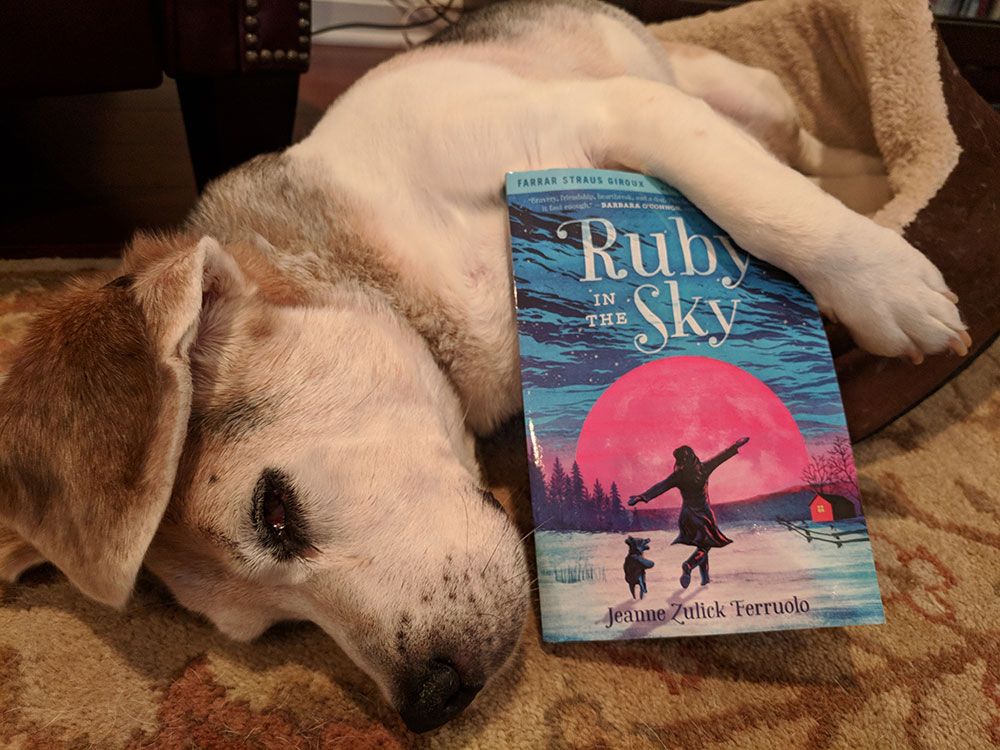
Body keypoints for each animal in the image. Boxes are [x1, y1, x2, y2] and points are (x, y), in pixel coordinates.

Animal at [0, 0, 968, 736]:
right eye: (270, 632)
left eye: (273, 512)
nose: (429, 703)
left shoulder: (610, 116)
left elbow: (764, 205)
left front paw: (885, 282)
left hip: (738, 94)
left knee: (794, 151)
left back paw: (875, 188)